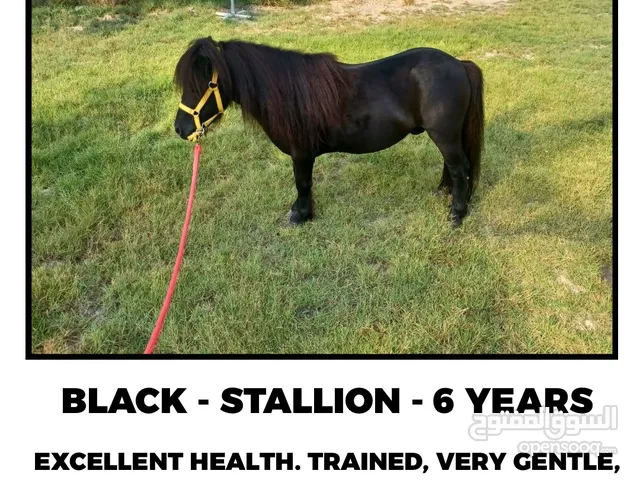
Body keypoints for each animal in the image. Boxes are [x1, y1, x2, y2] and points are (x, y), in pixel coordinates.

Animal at [173, 37, 484, 227]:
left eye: (205, 85)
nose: (180, 128)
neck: (288, 93)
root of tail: (459, 64)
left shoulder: (301, 154)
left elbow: (303, 183)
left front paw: (301, 216)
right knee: (452, 166)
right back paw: (444, 192)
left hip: (444, 134)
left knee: (460, 168)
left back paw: (456, 214)